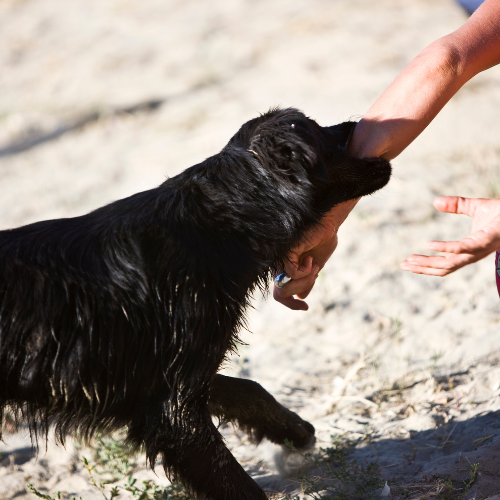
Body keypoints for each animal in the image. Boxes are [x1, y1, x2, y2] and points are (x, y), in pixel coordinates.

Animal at [0, 107, 390, 498]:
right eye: (317, 129)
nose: (359, 123)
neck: (218, 225)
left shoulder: (161, 381)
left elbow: (245, 389)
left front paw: (292, 430)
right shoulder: (172, 408)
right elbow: (234, 480)